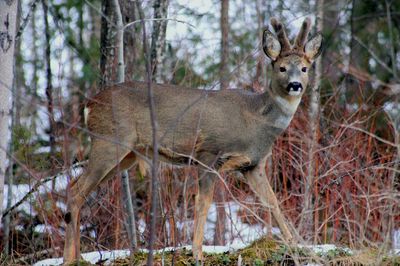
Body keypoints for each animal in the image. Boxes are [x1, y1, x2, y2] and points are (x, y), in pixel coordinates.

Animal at [62, 17, 324, 264]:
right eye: (281, 68)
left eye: (304, 68)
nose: (295, 85)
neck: (256, 119)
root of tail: (89, 105)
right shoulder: (208, 153)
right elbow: (203, 203)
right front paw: (197, 253)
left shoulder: (252, 165)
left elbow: (273, 202)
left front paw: (298, 245)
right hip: (109, 141)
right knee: (75, 192)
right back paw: (69, 259)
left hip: (127, 154)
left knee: (76, 188)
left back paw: (77, 257)